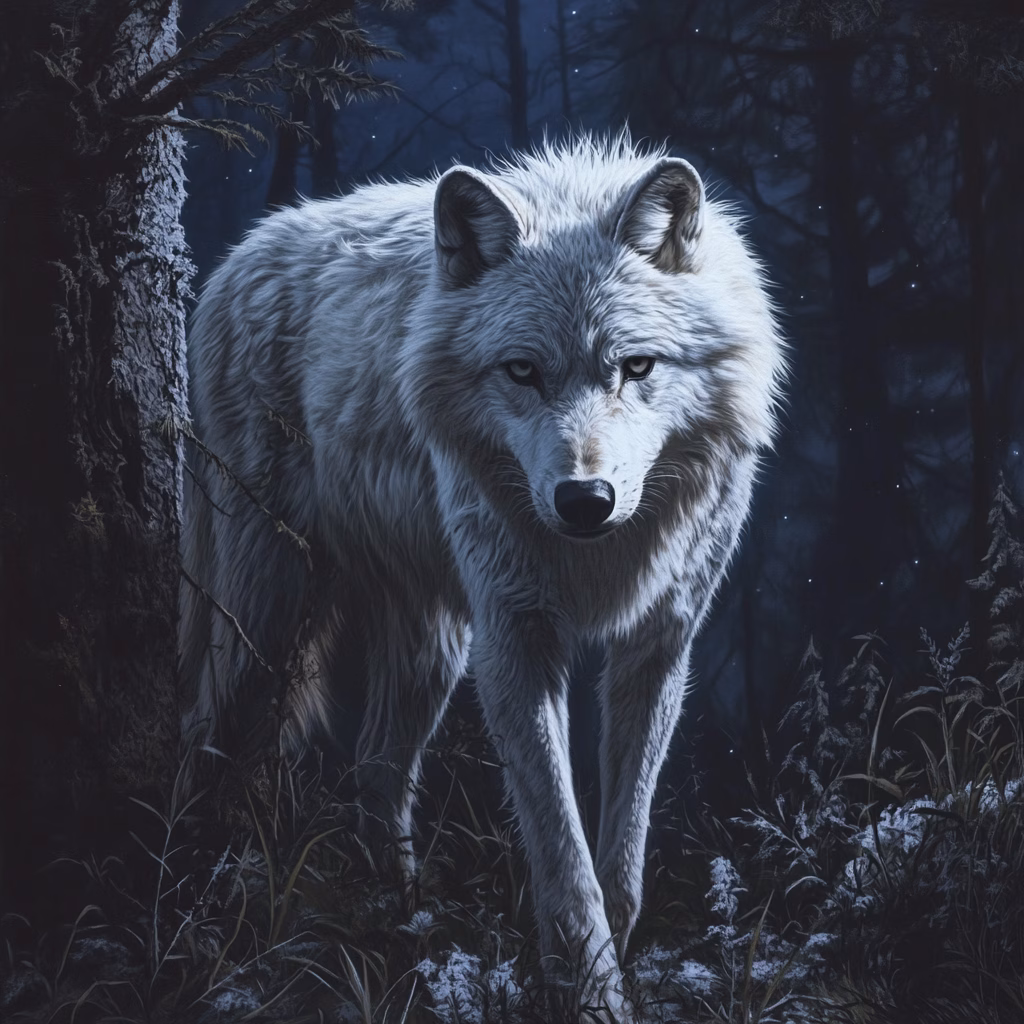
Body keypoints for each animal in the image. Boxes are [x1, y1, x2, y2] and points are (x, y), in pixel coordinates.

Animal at [180, 134, 784, 1016]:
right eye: (523, 371)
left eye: (637, 367)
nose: (584, 499)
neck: (597, 554)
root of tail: (235, 258)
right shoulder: (516, 641)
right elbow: (564, 859)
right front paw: (592, 996)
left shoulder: (657, 643)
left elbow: (623, 860)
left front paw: (608, 966)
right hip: (269, 614)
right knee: (210, 737)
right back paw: (201, 918)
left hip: (431, 645)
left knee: (376, 766)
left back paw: (401, 930)